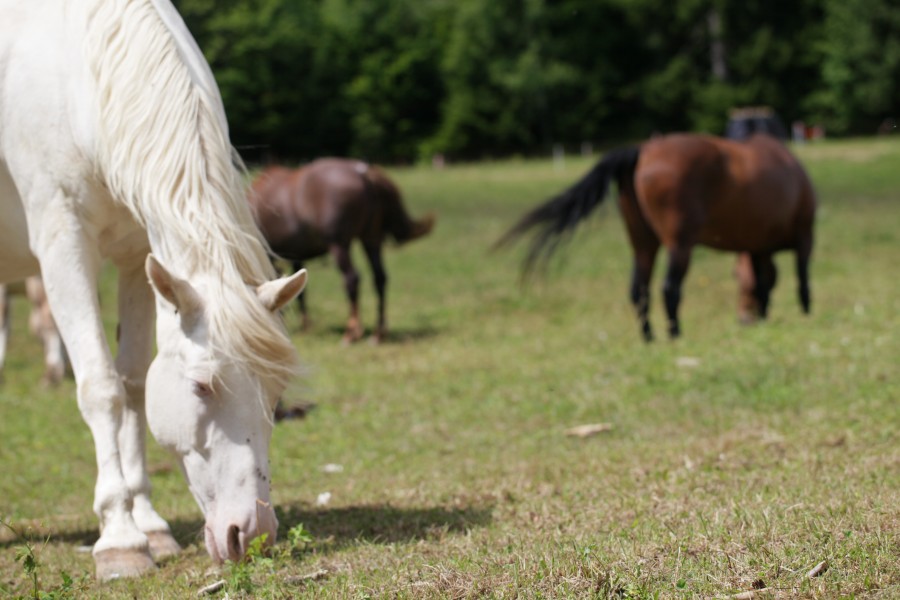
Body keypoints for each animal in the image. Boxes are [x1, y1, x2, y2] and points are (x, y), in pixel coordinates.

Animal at [0, 0, 310, 580]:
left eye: (277, 392)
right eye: (202, 387)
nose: (251, 534)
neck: (80, 68)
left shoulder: (137, 256)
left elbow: (134, 386)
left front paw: (150, 526)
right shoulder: (62, 242)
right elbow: (101, 387)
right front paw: (120, 540)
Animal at [250, 159, 436, 344]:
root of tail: (363, 172)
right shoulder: (295, 255)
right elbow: (300, 291)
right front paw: (304, 324)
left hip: (339, 244)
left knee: (352, 278)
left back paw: (351, 332)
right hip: (371, 238)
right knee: (379, 277)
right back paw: (378, 333)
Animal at [500, 132, 816, 338]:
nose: (744, 320)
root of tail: (643, 150)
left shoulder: (758, 247)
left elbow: (763, 283)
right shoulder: (803, 236)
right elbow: (800, 281)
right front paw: (806, 314)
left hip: (642, 242)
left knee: (638, 289)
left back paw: (649, 337)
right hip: (680, 242)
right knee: (669, 288)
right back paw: (675, 334)